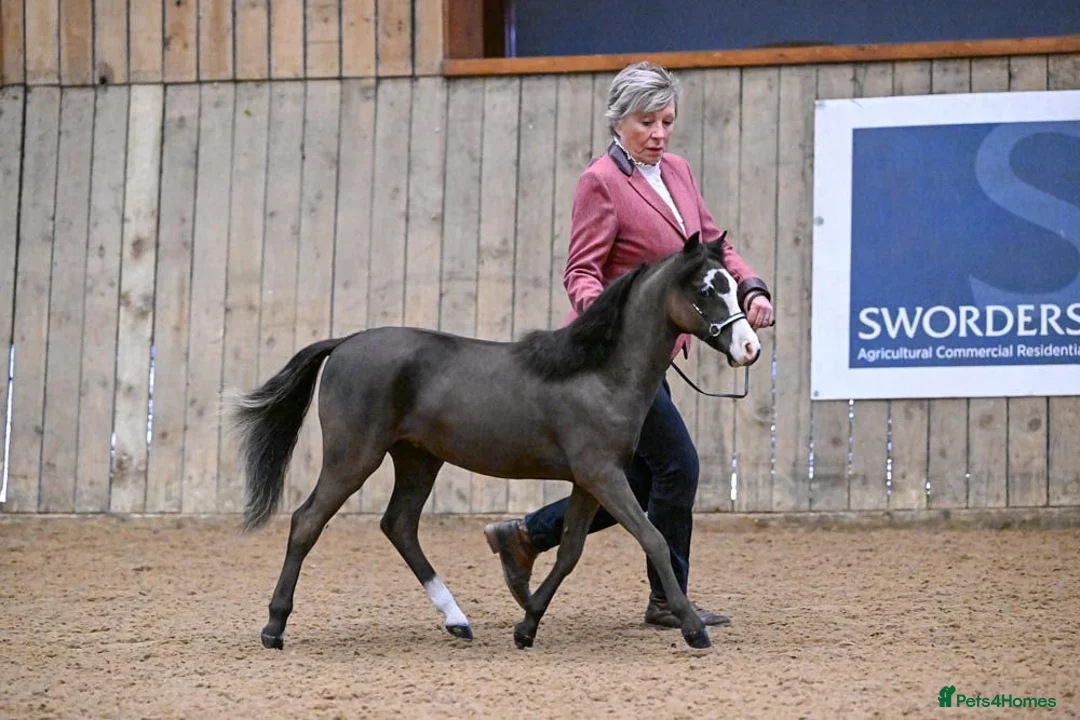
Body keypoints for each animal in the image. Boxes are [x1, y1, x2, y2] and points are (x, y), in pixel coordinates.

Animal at [228, 230, 762, 652]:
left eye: (735, 286)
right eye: (705, 289)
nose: (749, 348)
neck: (599, 373)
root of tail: (344, 343)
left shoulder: (589, 483)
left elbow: (569, 552)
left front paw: (526, 626)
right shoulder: (604, 476)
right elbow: (653, 539)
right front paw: (693, 628)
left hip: (418, 459)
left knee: (398, 525)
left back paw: (458, 621)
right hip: (353, 456)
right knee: (307, 522)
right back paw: (274, 628)